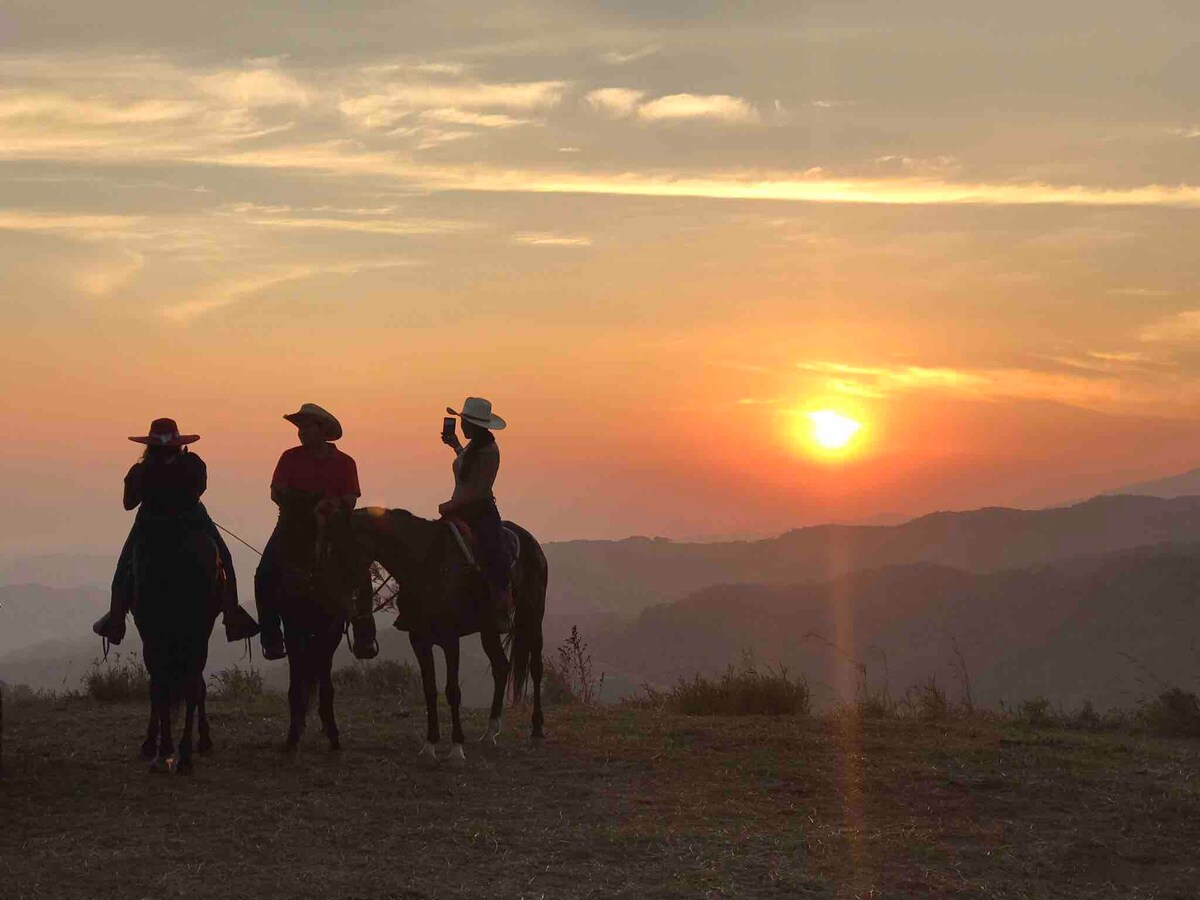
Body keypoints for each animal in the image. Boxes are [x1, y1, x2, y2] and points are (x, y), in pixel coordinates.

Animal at [131, 518, 223, 772]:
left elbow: (159, 690)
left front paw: (154, 743)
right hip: (197, 636)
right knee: (192, 686)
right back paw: (184, 755)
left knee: (171, 686)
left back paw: (173, 750)